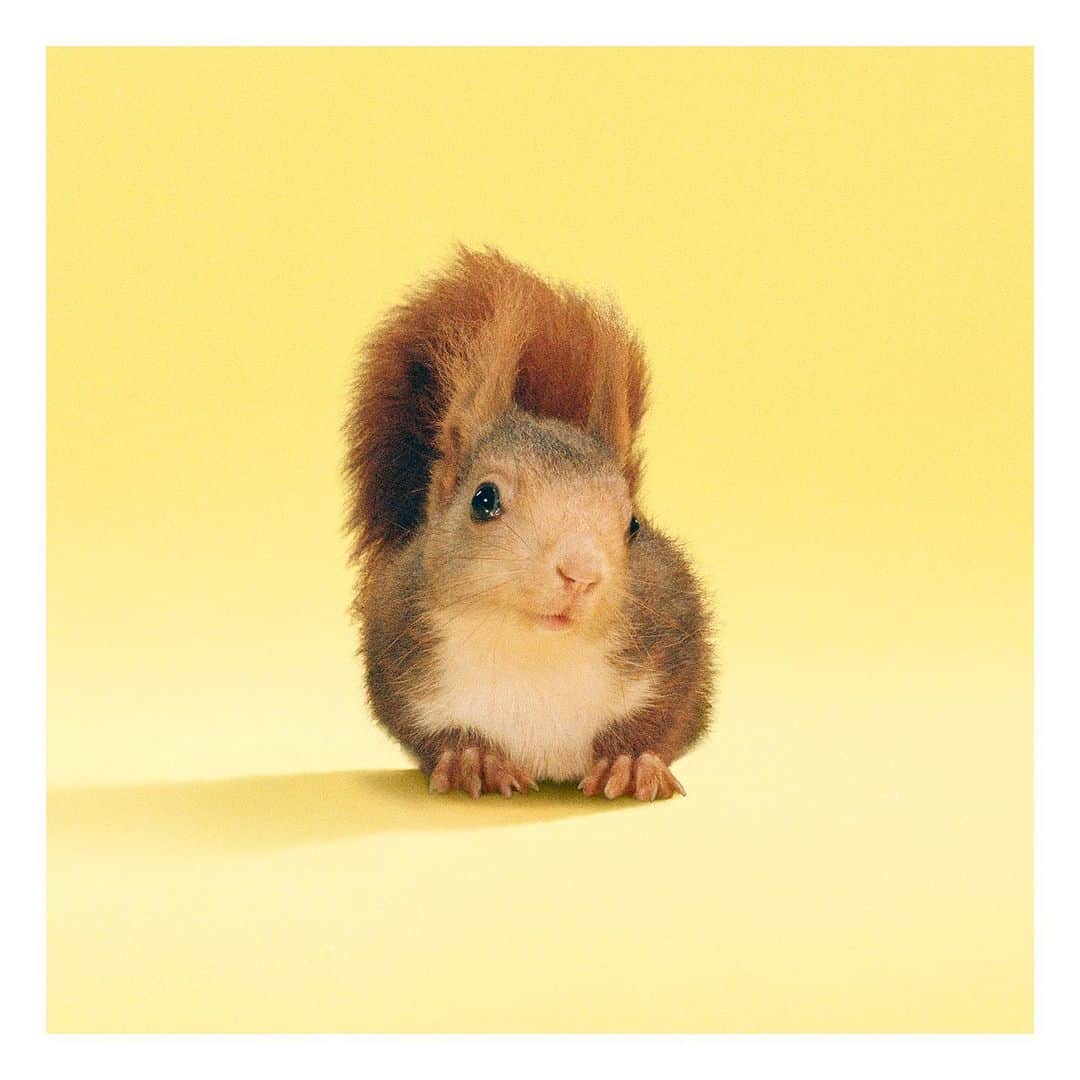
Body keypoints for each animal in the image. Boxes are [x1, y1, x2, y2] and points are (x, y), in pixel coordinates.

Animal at [345, 247, 713, 801]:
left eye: (632, 524)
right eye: (483, 499)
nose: (581, 573)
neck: (533, 652)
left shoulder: (673, 642)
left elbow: (667, 717)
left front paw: (630, 762)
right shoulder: (402, 667)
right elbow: (432, 733)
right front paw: (474, 759)